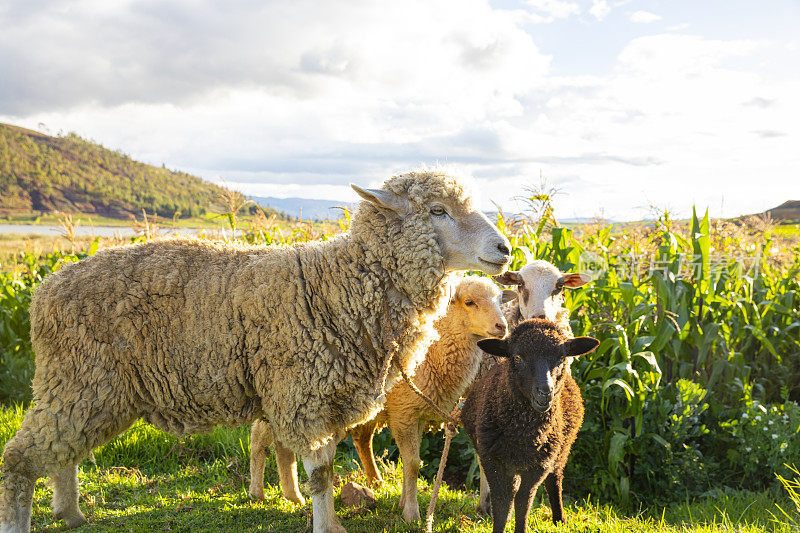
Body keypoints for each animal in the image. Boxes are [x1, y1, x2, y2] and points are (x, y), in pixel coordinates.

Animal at [247, 274, 516, 520]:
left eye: (500, 299)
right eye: (469, 302)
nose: (502, 327)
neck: (434, 353)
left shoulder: (416, 412)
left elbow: (412, 462)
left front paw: (403, 503)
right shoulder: (404, 413)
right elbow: (413, 464)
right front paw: (412, 513)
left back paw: (301, 494)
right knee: (260, 438)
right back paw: (259, 493)